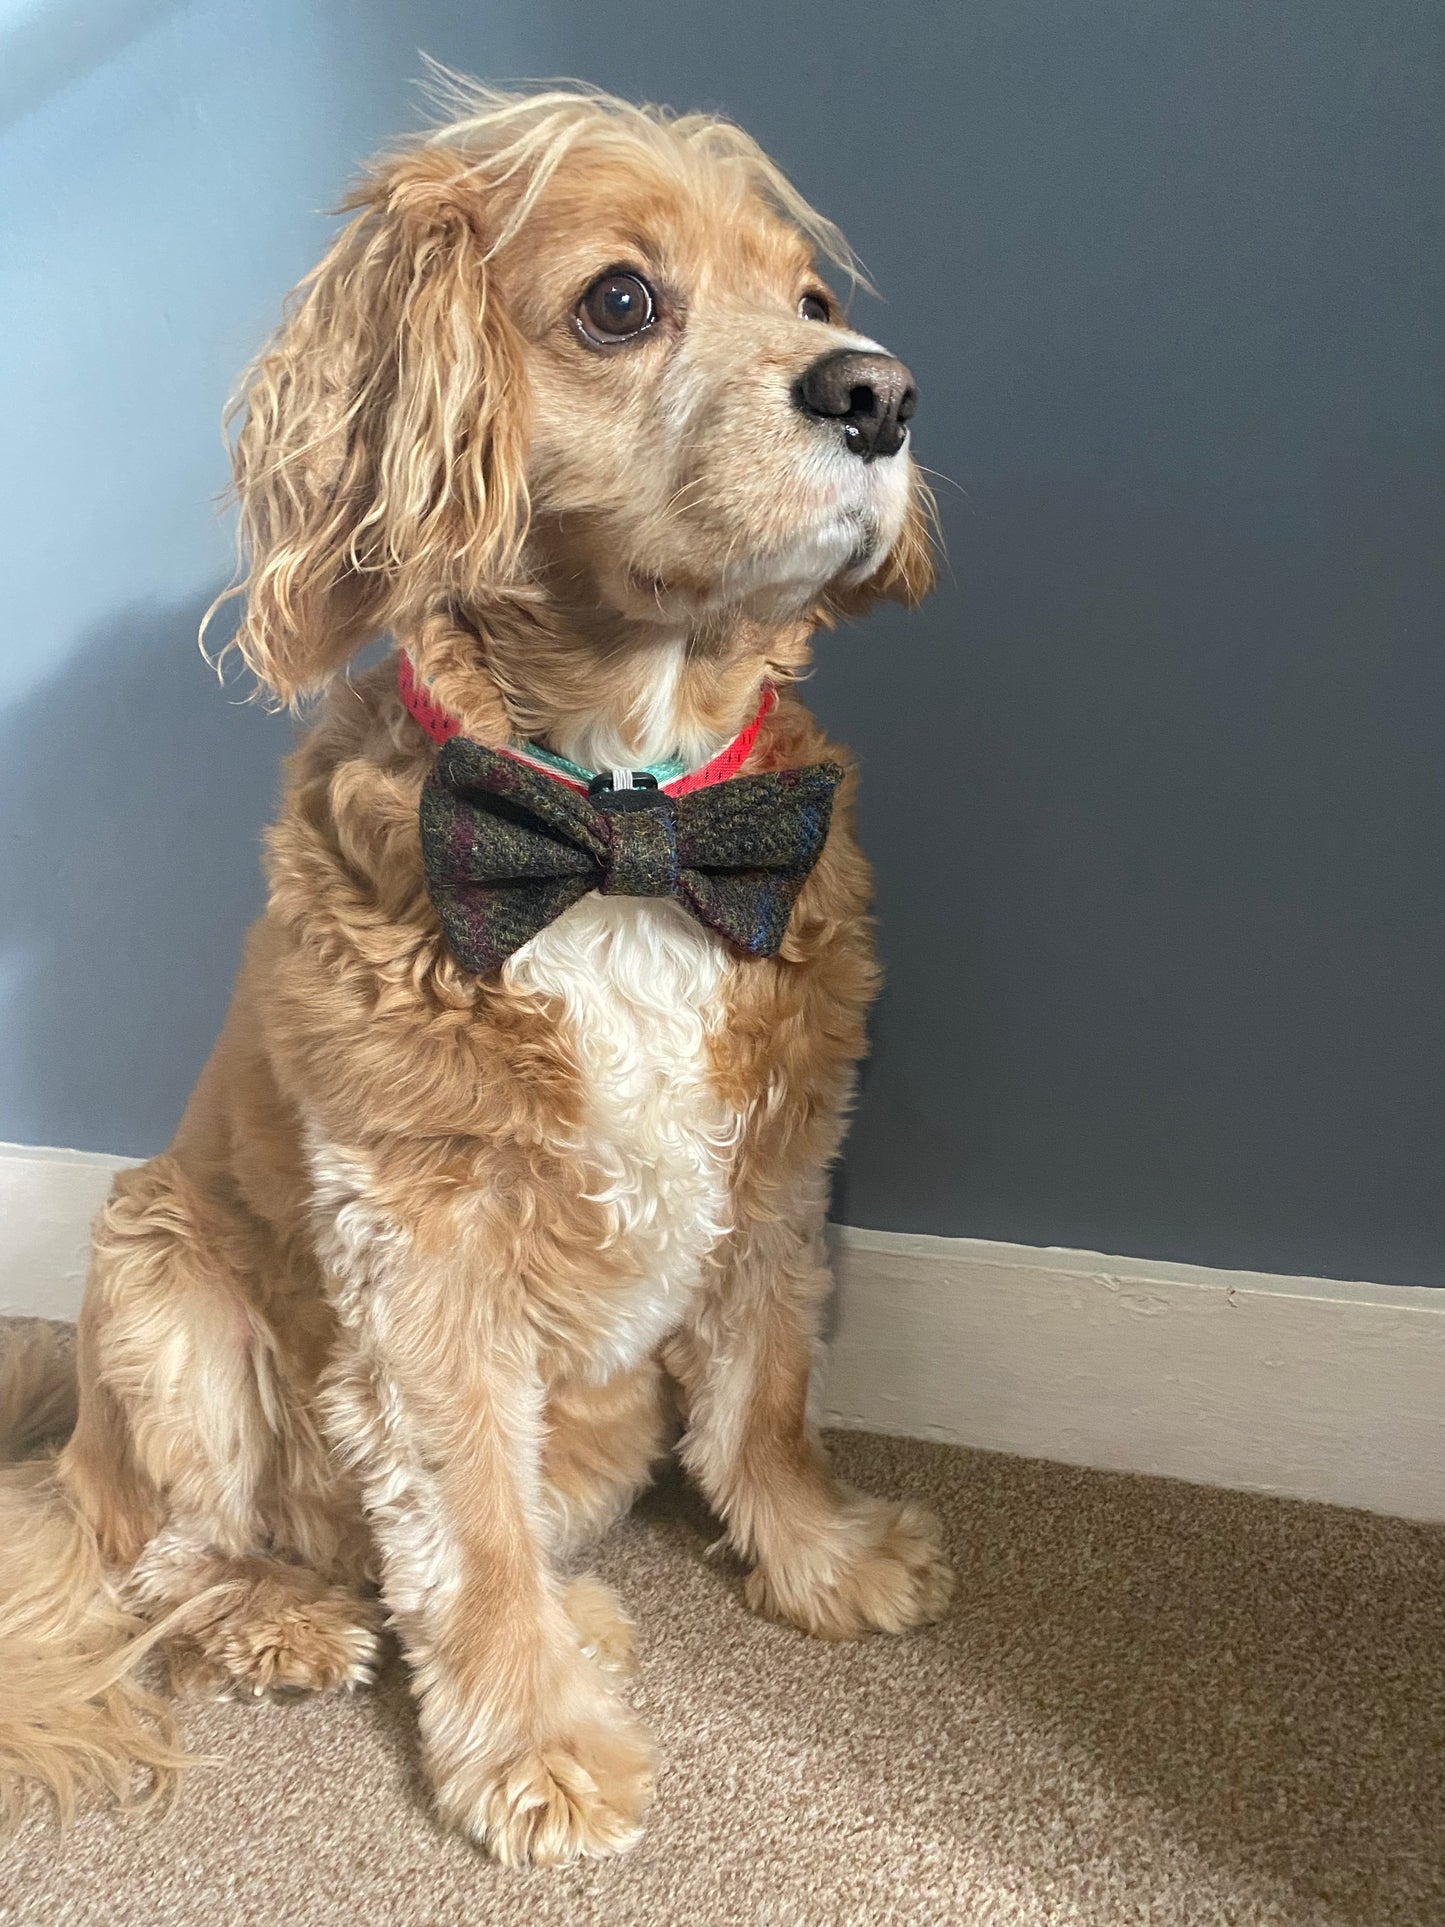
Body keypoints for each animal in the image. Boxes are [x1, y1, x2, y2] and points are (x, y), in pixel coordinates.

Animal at [0, 79, 951, 1865]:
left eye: (809, 297)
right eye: (620, 301)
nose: (879, 390)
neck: (624, 822)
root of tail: (65, 1455)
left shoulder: (780, 1160)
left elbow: (766, 1392)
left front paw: (818, 1553)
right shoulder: (421, 1242)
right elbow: (470, 1518)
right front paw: (533, 1741)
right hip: (160, 1284)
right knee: (183, 1558)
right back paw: (288, 1616)